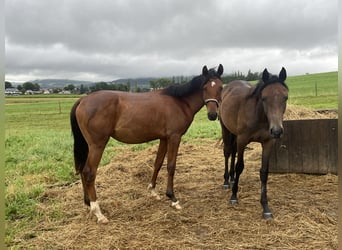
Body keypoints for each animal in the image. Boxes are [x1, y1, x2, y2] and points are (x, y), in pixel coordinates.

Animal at [70, 64, 224, 223]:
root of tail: (83, 100)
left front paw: (153, 191)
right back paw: (98, 212)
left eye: (221, 87)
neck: (180, 102)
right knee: (89, 173)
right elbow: (171, 166)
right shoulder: (174, 137)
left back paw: (88, 203)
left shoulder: (164, 138)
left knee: (82, 170)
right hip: (97, 145)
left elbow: (158, 163)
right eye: (205, 87)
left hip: (89, 146)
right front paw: (172, 198)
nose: (213, 115)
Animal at [219, 67, 288, 219]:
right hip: (225, 129)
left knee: (233, 152)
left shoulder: (268, 143)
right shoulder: (242, 140)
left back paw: (232, 178)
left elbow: (264, 172)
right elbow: (240, 166)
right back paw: (227, 181)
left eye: (285, 97)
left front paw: (265, 207)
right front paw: (234, 196)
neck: (259, 116)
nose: (277, 131)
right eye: (264, 98)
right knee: (227, 152)